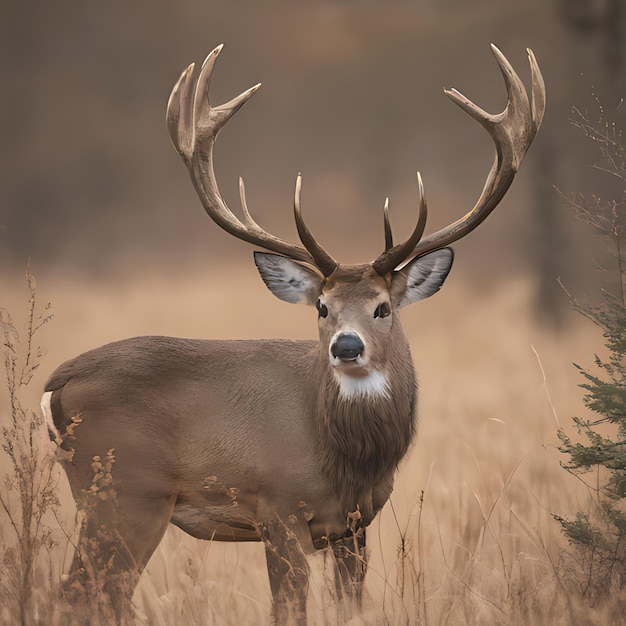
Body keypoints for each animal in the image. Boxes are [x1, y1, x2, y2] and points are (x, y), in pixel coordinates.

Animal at [42, 45, 540, 624]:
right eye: (322, 306)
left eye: (384, 307)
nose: (346, 346)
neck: (344, 457)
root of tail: (57, 382)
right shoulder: (277, 508)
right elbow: (289, 607)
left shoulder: (355, 525)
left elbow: (350, 607)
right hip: (124, 492)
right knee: (84, 590)